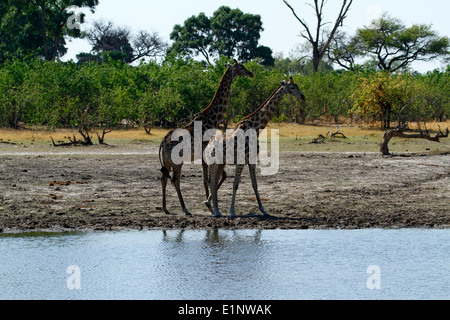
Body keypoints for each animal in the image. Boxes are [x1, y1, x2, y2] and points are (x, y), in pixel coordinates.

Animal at [160, 60, 255, 215]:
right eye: (240, 67)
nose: (251, 73)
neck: (212, 119)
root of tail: (162, 143)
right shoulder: (206, 154)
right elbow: (208, 180)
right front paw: (210, 207)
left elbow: (217, 177)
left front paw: (210, 204)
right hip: (177, 160)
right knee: (175, 180)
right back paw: (185, 209)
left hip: (167, 161)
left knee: (164, 178)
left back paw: (165, 208)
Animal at [205, 77, 306, 218]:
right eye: (292, 87)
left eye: (297, 86)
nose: (302, 96)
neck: (256, 128)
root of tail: (207, 146)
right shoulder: (241, 160)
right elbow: (235, 184)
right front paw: (232, 211)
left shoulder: (252, 159)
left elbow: (255, 184)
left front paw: (264, 210)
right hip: (212, 162)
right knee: (211, 182)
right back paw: (215, 210)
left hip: (221, 163)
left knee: (214, 182)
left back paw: (215, 209)